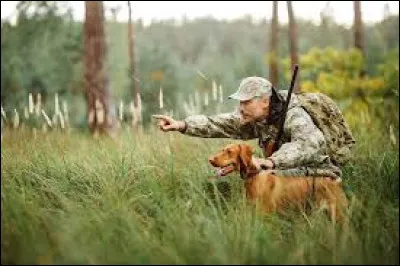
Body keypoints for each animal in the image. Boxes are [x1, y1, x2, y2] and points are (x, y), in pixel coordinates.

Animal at [208, 143, 348, 222]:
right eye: (222, 150)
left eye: (229, 151)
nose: (210, 159)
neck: (255, 177)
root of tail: (333, 180)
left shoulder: (267, 218)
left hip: (338, 216)